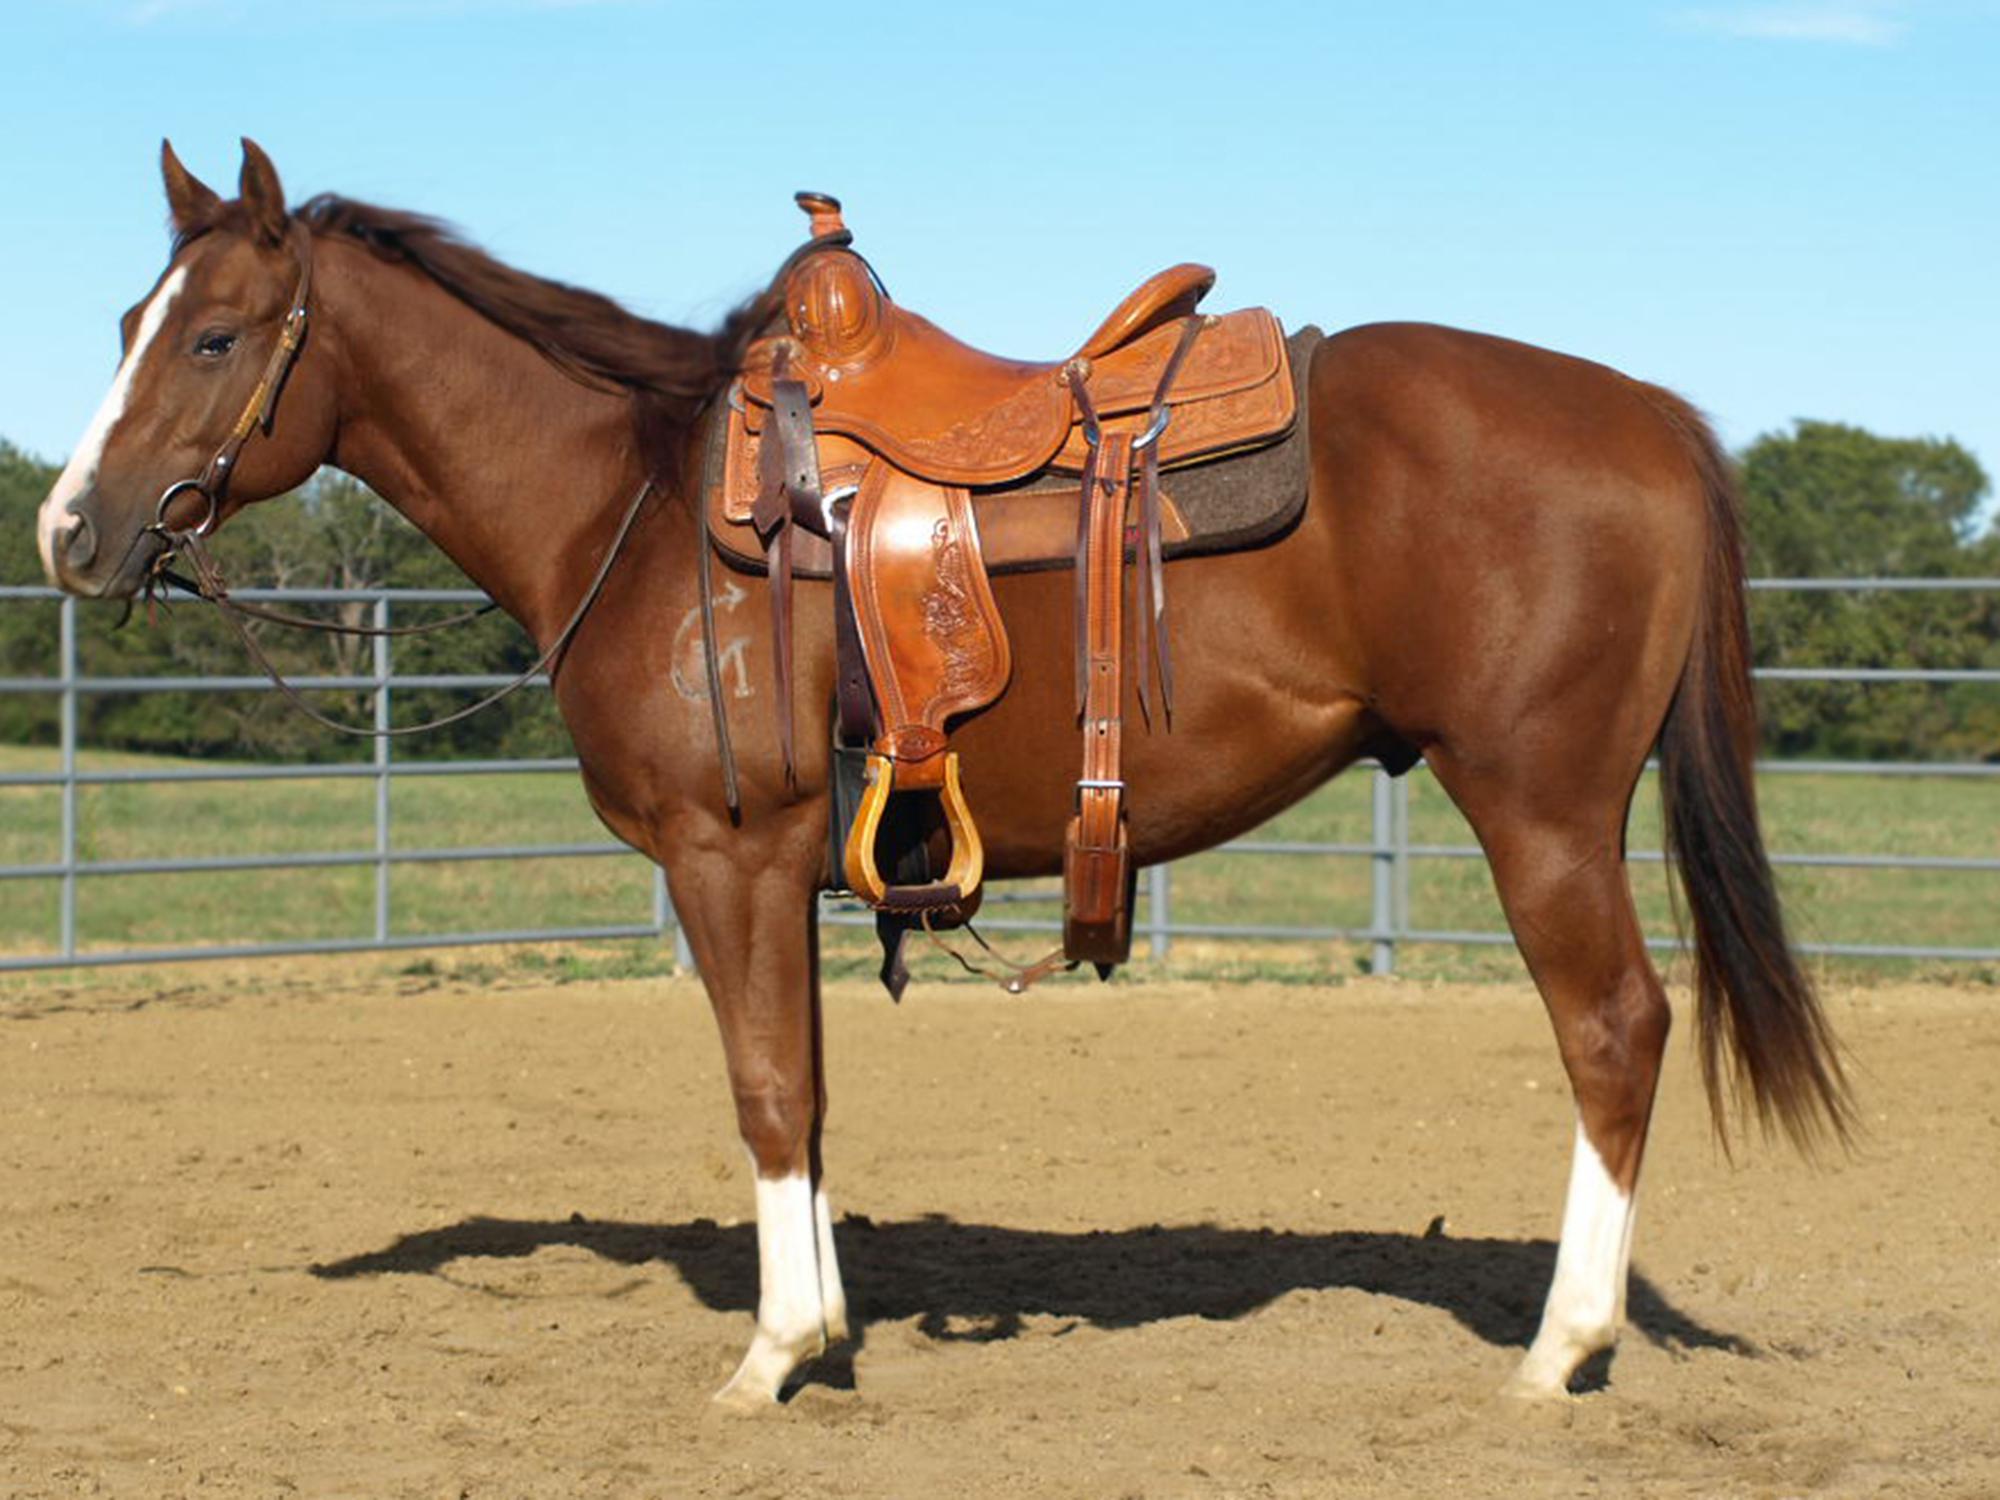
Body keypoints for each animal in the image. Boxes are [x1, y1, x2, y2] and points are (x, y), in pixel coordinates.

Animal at [35, 141, 1840, 1408]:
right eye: (128, 325)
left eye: (212, 336)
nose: (67, 533)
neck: (633, 499)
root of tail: (1654, 416)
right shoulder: (789, 872)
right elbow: (811, 1090)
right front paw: (824, 1324)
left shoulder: (729, 857)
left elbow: (769, 1092)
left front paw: (770, 1357)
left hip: (1541, 812)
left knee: (1615, 1033)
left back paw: (1560, 1350)